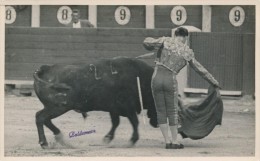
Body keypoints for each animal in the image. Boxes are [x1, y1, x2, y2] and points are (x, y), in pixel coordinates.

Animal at [33, 57, 223, 149]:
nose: (183, 133)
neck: (143, 80)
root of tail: (44, 69)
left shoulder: (114, 109)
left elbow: (116, 123)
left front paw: (107, 138)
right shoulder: (128, 108)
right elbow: (134, 122)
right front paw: (132, 140)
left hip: (56, 107)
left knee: (44, 119)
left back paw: (60, 138)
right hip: (58, 106)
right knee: (40, 117)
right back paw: (45, 142)